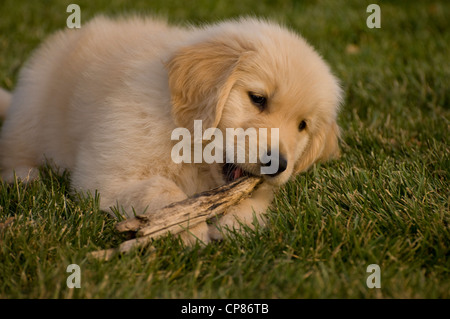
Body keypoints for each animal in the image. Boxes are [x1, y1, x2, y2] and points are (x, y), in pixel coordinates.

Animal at [0, 16, 342, 244]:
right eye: (258, 99)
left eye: (303, 126)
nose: (278, 166)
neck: (190, 147)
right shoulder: (105, 175)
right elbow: (161, 189)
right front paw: (189, 229)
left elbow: (253, 199)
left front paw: (238, 224)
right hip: (33, 109)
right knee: (15, 147)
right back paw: (24, 177)